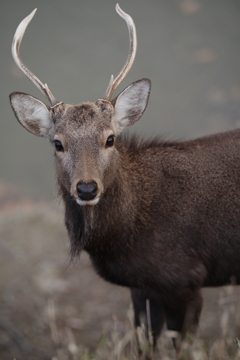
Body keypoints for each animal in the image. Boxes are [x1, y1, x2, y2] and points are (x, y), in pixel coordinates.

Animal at [9, 3, 240, 360]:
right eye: (58, 143)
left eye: (110, 138)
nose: (86, 188)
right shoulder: (143, 286)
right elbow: (143, 344)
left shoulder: (187, 278)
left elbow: (181, 348)